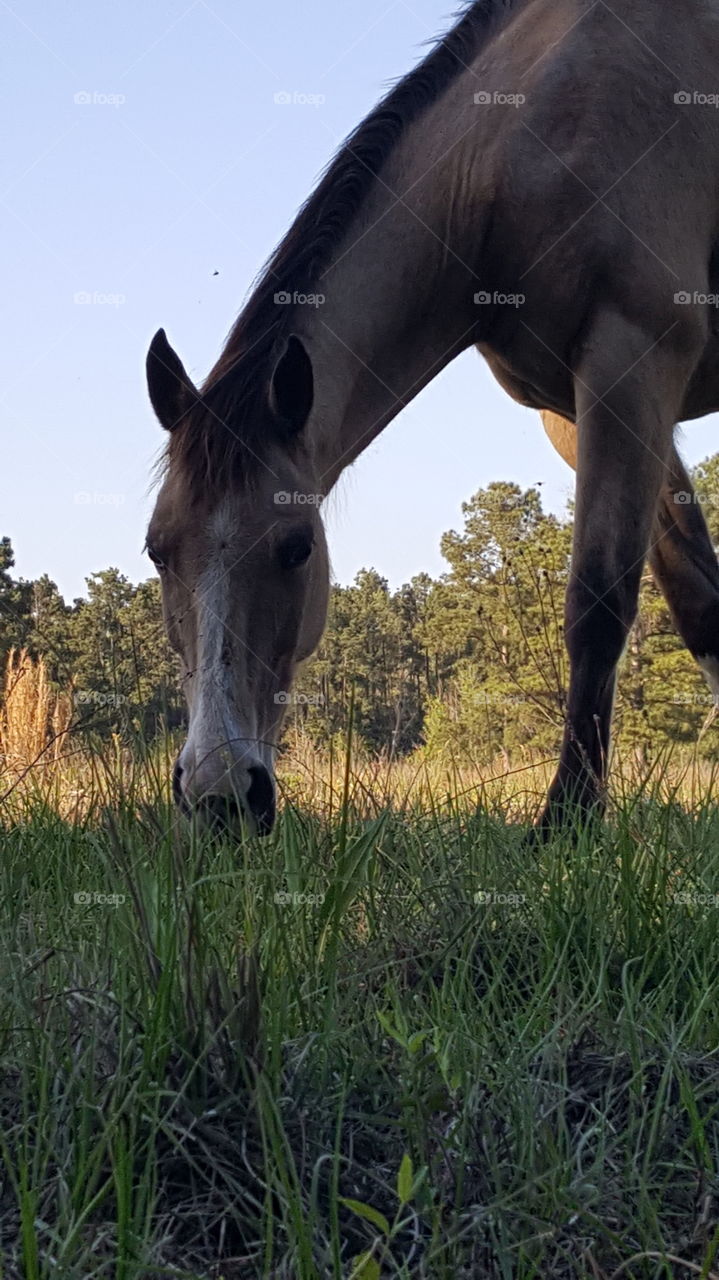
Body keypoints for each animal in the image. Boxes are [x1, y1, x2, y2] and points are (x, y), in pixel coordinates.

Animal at [146, 0, 719, 837]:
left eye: (295, 548)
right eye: (158, 551)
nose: (220, 795)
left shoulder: (633, 364)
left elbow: (597, 602)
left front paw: (566, 821)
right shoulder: (582, 414)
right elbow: (701, 606)